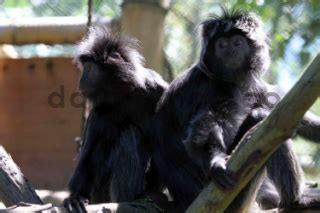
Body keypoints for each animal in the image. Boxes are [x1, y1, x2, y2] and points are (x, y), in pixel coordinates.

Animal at [62, 26, 168, 211]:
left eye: (89, 68)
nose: (81, 81)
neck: (125, 95)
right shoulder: (98, 112)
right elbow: (88, 156)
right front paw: (74, 197)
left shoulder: (158, 88)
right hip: (100, 192)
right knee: (129, 134)